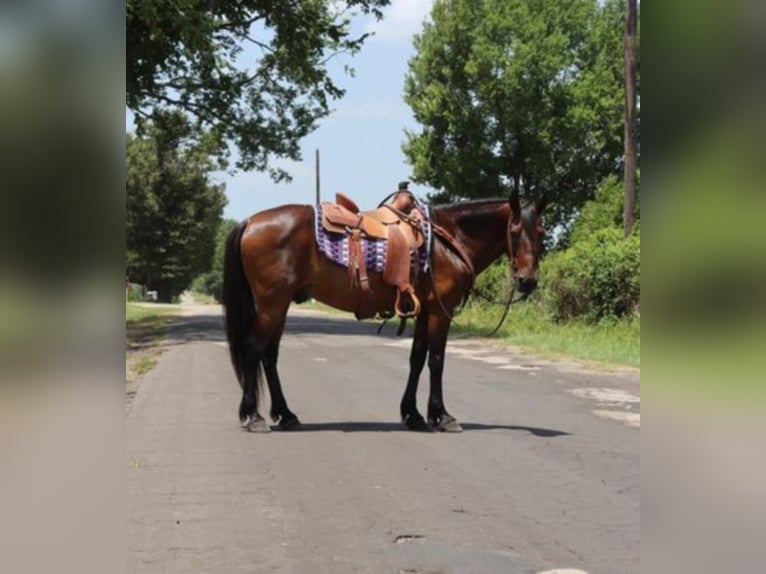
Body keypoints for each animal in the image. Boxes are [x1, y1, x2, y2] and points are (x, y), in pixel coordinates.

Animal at [222, 191, 544, 434]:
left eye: (540, 231)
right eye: (514, 230)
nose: (528, 281)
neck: (448, 239)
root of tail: (250, 222)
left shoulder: (425, 312)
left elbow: (417, 359)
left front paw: (413, 415)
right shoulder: (440, 312)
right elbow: (437, 361)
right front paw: (443, 417)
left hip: (280, 304)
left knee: (269, 355)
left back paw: (286, 415)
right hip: (271, 304)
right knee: (253, 350)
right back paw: (254, 417)